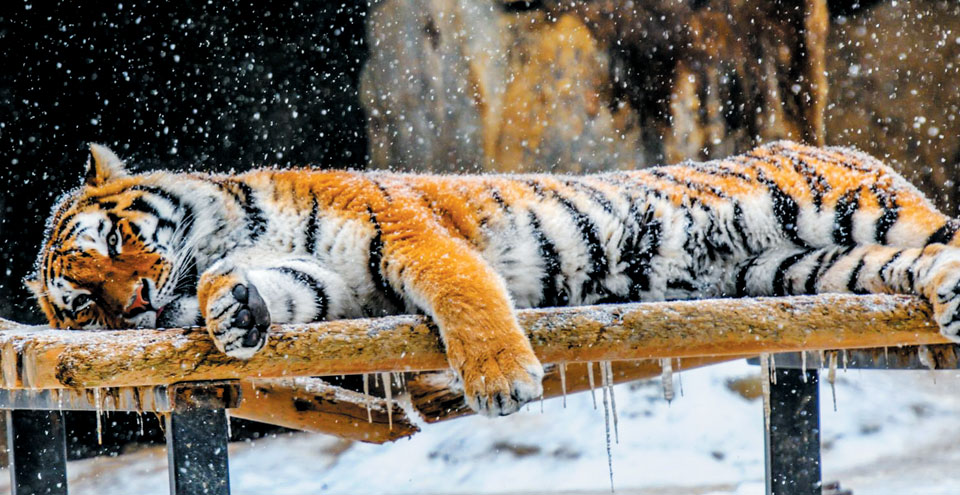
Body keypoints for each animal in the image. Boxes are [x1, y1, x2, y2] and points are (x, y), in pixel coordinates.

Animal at [24, 141, 960, 416]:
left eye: (117, 237)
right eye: (86, 307)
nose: (139, 306)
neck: (234, 230)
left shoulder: (405, 230)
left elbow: (464, 293)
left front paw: (502, 381)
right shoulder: (333, 285)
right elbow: (282, 288)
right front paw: (234, 312)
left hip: (849, 207)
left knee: (942, 236)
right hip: (809, 263)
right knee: (910, 266)